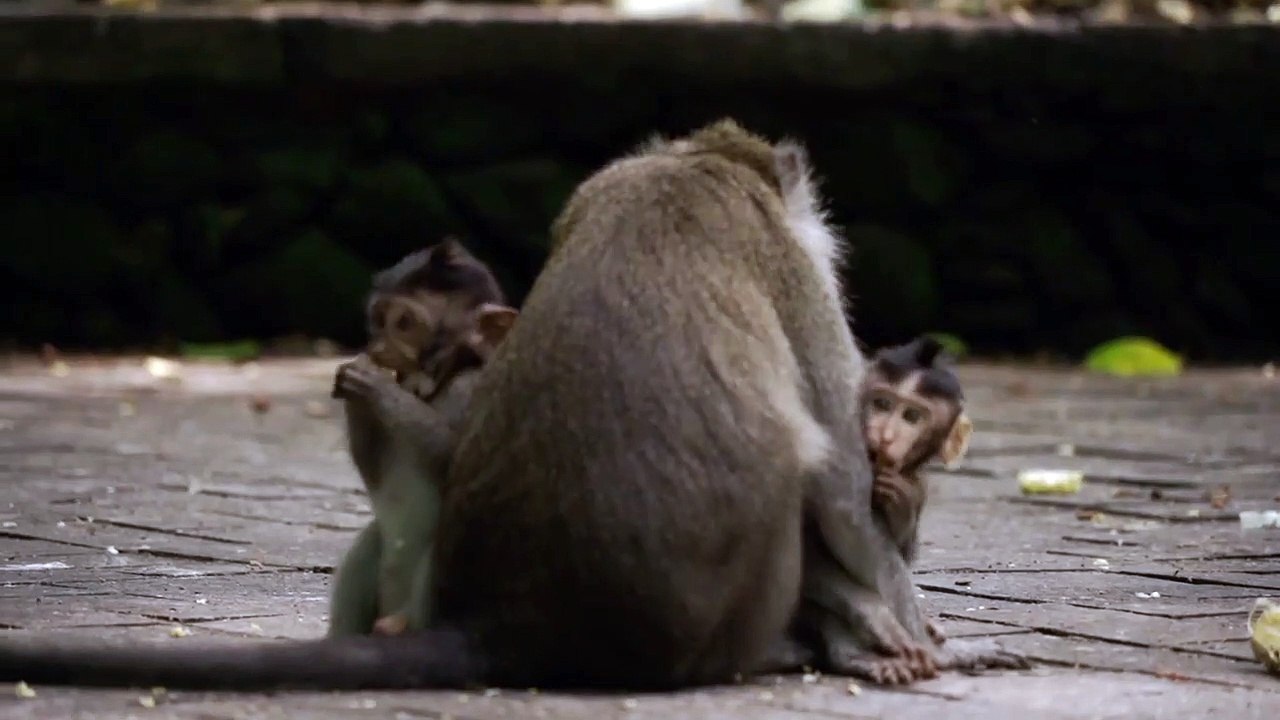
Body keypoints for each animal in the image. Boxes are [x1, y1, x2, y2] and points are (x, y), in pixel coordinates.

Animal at [0, 119, 1024, 689]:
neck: (689, 167)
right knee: (802, 478)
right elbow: (844, 495)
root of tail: (512, 619)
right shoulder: (796, 268)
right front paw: (921, 637)